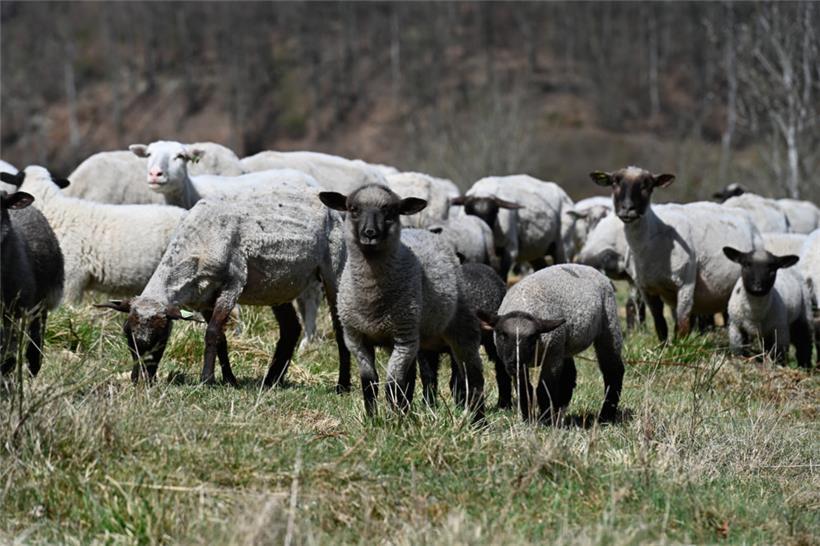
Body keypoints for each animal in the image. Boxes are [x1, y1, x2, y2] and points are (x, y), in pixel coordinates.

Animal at [97, 187, 352, 390]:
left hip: (334, 266)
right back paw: (271, 381)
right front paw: (230, 380)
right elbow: (221, 338)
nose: (139, 381)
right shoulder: (205, 298)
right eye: (128, 338)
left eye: (160, 337)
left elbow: (211, 333)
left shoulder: (233, 284)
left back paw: (343, 385)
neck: (198, 243)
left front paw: (207, 380)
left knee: (339, 328)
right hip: (277, 285)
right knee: (290, 328)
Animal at [318, 184, 486, 421]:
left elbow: (393, 385)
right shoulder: (356, 338)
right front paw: (373, 419)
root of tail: (427, 233)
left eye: (390, 211)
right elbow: (369, 383)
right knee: (413, 377)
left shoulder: (404, 338)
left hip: (460, 323)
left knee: (473, 374)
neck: (371, 299)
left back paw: (479, 421)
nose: (370, 234)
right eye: (353, 209)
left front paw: (394, 422)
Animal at [477, 264, 624, 424]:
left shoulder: (552, 354)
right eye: (502, 335)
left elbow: (544, 388)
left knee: (613, 371)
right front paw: (528, 418)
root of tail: (590, 268)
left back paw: (606, 416)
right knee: (569, 375)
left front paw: (545, 420)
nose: (513, 362)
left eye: (532, 337)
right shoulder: (523, 364)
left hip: (608, 324)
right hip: (564, 345)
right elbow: (524, 389)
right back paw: (561, 409)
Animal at [592, 166, 762, 340]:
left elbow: (682, 325)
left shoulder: (686, 284)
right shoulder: (646, 288)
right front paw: (664, 345)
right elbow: (660, 323)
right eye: (614, 182)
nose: (627, 209)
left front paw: (679, 345)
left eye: (647, 185)